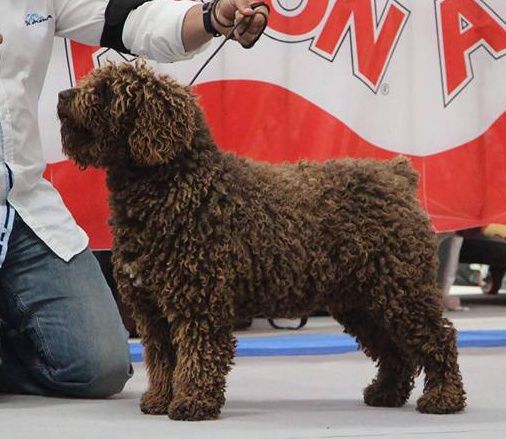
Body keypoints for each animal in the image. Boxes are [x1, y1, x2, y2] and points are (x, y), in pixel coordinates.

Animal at [56, 60, 466, 422]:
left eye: (109, 91)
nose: (62, 95)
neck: (181, 187)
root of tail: (397, 176)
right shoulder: (151, 311)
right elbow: (161, 360)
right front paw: (159, 400)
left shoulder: (199, 304)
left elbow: (197, 357)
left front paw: (192, 403)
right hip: (362, 301)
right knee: (395, 353)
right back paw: (386, 393)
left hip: (401, 292)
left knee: (440, 339)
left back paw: (443, 398)